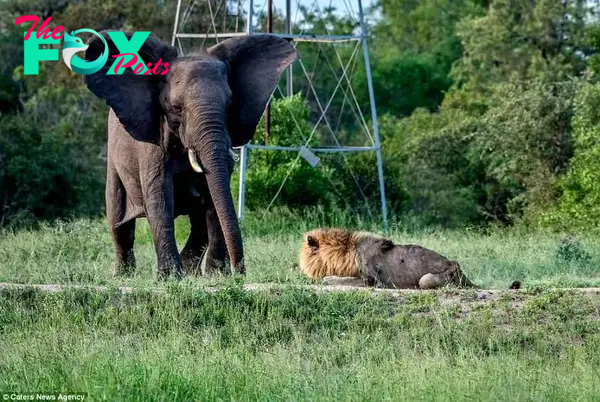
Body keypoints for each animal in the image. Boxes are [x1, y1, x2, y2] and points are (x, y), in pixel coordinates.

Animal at [83, 30, 298, 280]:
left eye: (229, 105)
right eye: (176, 108)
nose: (240, 273)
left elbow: (214, 200)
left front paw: (217, 276)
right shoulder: (154, 144)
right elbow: (160, 198)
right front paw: (170, 278)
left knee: (198, 221)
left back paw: (191, 271)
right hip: (115, 163)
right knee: (119, 223)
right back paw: (124, 275)